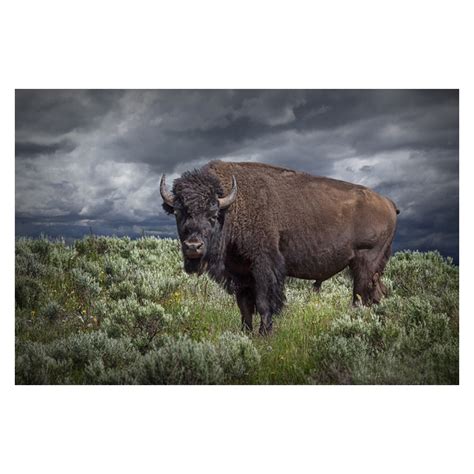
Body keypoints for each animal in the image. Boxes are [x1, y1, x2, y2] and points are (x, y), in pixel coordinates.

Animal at [161, 161, 398, 336]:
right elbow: (244, 306)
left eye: (213, 214)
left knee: (362, 297)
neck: (233, 207)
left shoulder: (264, 266)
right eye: (179, 212)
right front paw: (245, 333)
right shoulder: (240, 273)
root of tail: (387, 202)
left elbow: (264, 303)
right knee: (378, 294)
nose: (193, 246)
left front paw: (265, 334)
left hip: (365, 263)